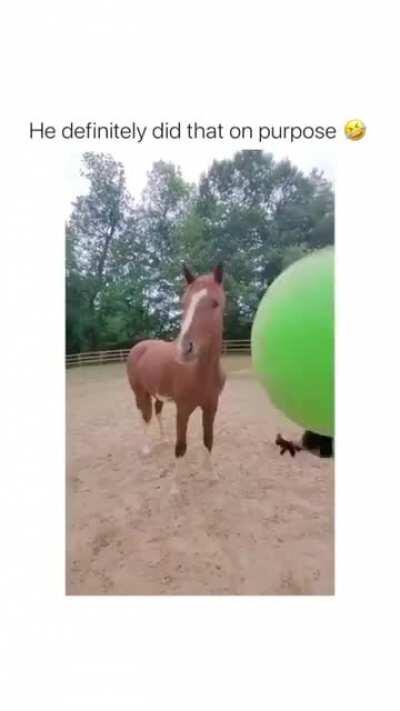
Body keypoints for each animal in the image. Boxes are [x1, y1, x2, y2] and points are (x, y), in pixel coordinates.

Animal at [126, 263, 226, 486]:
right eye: (183, 303)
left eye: (215, 303)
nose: (184, 349)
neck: (200, 372)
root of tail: (139, 346)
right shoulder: (183, 409)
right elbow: (181, 446)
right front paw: (175, 488)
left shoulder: (211, 407)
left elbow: (208, 440)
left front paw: (213, 475)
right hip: (140, 393)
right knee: (145, 416)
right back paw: (146, 448)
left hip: (157, 394)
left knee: (157, 412)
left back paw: (163, 439)